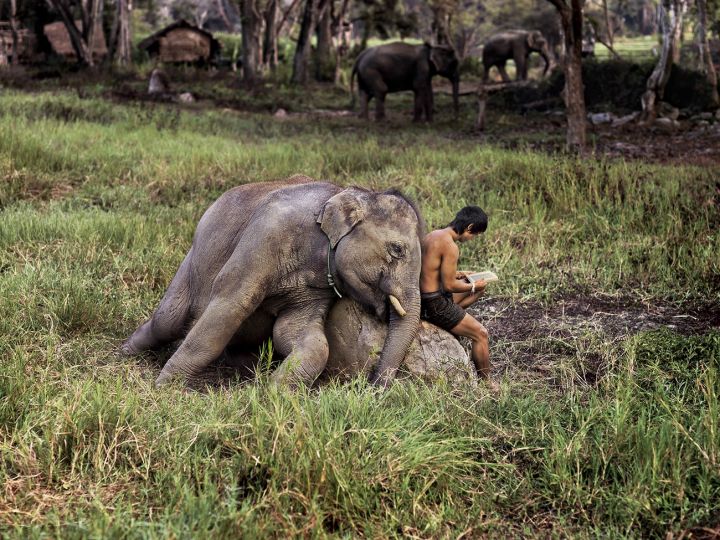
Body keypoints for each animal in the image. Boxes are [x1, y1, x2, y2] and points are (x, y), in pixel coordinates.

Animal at [121, 176, 424, 388]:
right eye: (397, 249)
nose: (373, 386)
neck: (340, 193)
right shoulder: (267, 234)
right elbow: (230, 305)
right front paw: (165, 387)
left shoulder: (317, 288)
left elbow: (301, 335)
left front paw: (273, 392)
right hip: (192, 261)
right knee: (168, 320)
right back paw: (125, 352)